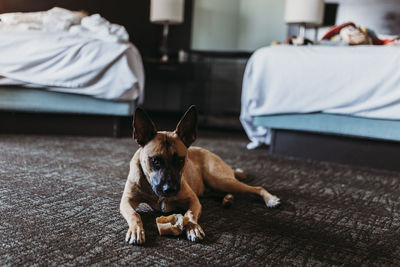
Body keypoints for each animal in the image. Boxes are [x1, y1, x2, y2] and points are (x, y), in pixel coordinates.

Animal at [120, 106, 280, 245]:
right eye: (155, 161)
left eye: (180, 160)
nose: (169, 189)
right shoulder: (126, 201)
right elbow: (134, 215)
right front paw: (136, 230)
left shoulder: (193, 199)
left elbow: (190, 214)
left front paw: (193, 227)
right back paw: (227, 198)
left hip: (219, 180)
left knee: (257, 188)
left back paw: (270, 199)